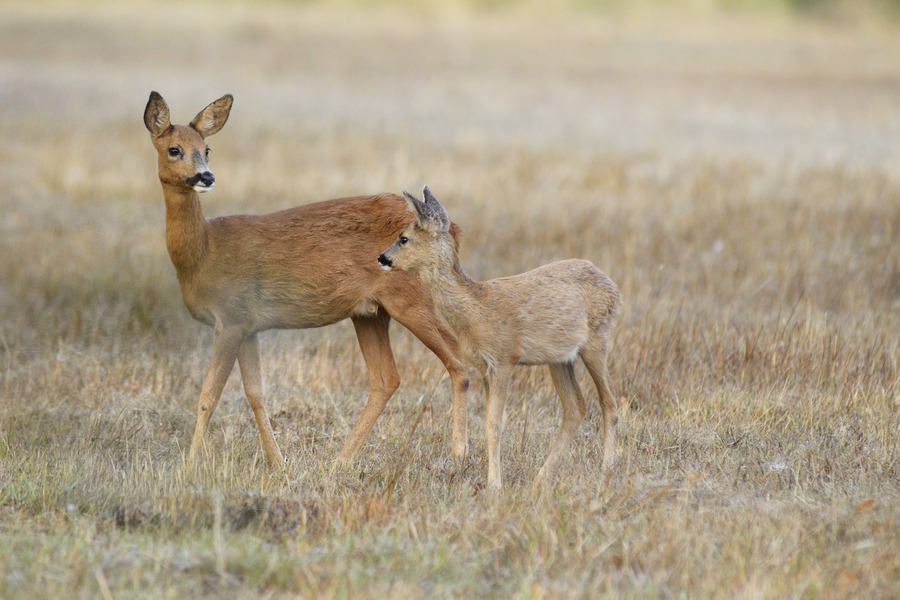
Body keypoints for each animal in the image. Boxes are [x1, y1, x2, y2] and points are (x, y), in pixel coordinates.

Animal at [142, 92, 472, 468]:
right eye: (174, 149)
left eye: (206, 148)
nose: (206, 176)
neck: (204, 251)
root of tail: (453, 230)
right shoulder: (248, 325)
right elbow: (256, 394)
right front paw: (278, 463)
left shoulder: (231, 317)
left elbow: (208, 396)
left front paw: (190, 465)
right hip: (370, 313)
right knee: (386, 378)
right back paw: (340, 462)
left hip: (411, 298)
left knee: (458, 360)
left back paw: (459, 453)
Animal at [378, 188, 620, 492]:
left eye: (404, 237)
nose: (381, 258)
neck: (478, 309)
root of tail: (612, 285)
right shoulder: (484, 366)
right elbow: (487, 421)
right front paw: (491, 479)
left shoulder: (504, 359)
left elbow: (496, 424)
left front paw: (495, 485)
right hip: (560, 359)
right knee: (576, 408)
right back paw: (541, 478)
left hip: (597, 339)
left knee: (609, 402)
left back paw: (606, 471)